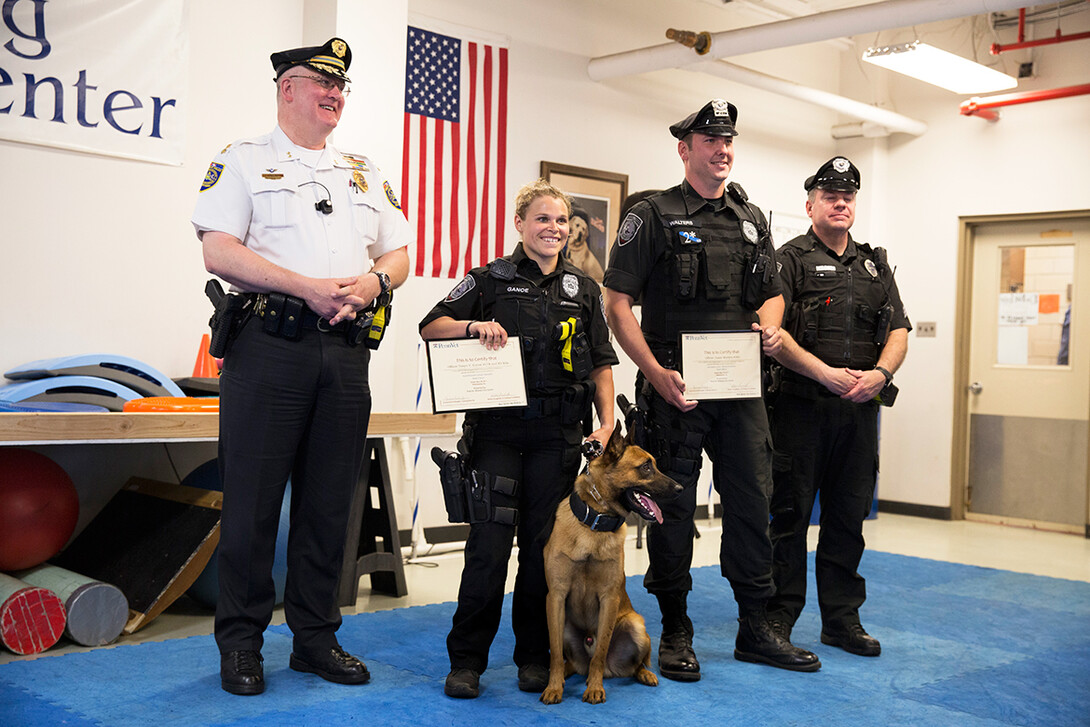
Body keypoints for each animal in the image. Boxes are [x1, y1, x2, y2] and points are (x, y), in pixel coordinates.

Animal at [538, 420, 680, 706]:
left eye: (655, 464)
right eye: (646, 467)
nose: (680, 489)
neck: (594, 524)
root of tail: (613, 671)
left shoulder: (609, 600)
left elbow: (601, 652)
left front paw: (594, 688)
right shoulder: (555, 597)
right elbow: (555, 653)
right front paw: (553, 687)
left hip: (635, 626)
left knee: (632, 663)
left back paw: (644, 674)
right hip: (565, 626)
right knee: (569, 661)